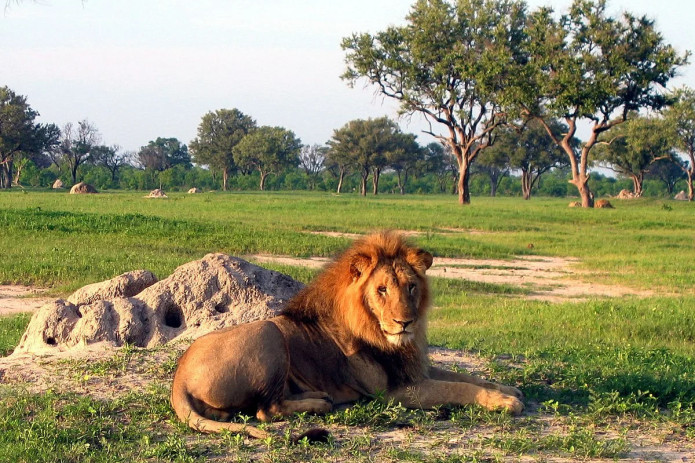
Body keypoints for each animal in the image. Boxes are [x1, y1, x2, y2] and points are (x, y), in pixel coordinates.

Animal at [171, 232, 524, 438]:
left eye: (411, 286)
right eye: (381, 289)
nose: (405, 323)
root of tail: (179, 379)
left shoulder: (414, 369)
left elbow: (466, 377)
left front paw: (508, 390)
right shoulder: (392, 392)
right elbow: (457, 389)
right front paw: (505, 402)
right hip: (267, 331)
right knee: (265, 410)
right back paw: (320, 404)